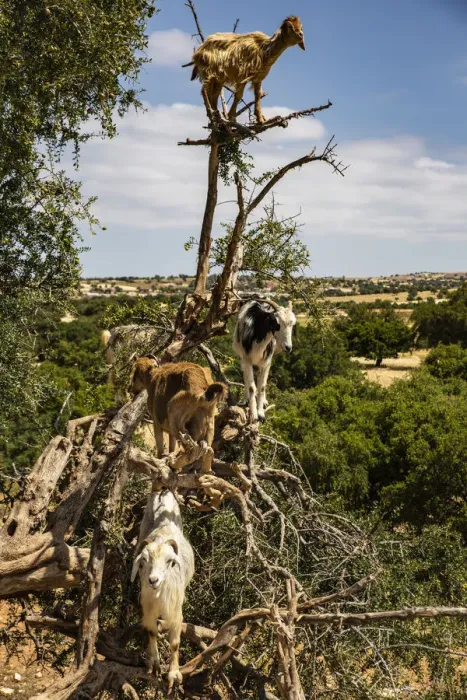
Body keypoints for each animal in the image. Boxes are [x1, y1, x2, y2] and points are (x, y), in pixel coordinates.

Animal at [131, 489, 195, 690]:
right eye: (143, 561)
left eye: (170, 561)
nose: (153, 580)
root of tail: (163, 493)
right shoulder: (148, 609)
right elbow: (151, 632)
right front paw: (155, 664)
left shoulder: (175, 613)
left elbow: (174, 643)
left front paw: (173, 673)